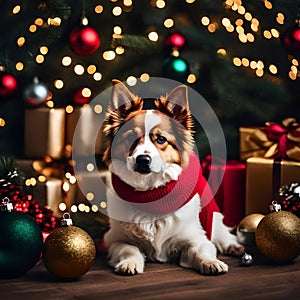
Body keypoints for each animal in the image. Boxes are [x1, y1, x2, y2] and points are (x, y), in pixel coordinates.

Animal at [101, 79, 244, 274]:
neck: (150, 193)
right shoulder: (114, 239)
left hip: (214, 218)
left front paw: (211, 262)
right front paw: (130, 263)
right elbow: (130, 248)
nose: (143, 160)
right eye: (130, 138)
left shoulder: (197, 237)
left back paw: (233, 246)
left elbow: (202, 249)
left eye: (161, 139)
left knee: (222, 232)